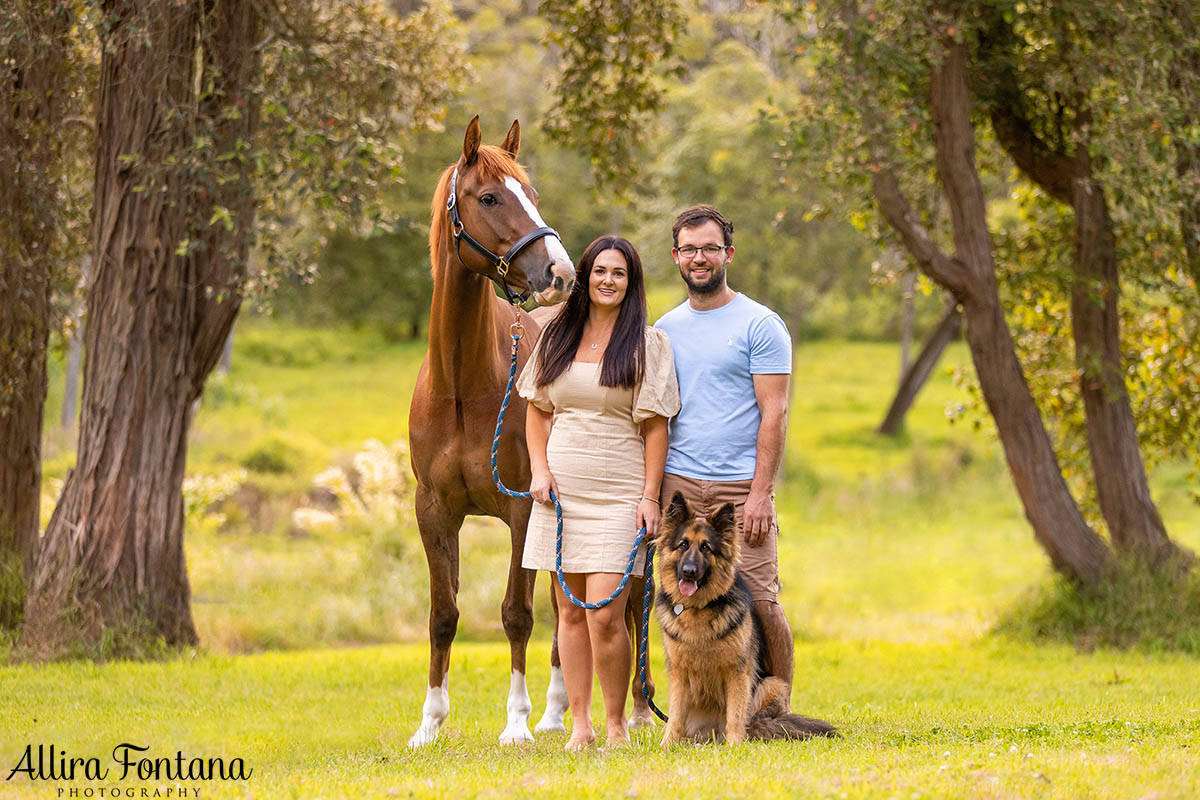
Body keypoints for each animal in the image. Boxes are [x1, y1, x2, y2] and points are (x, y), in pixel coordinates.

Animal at [657, 491, 835, 748]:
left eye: (706, 548)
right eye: (683, 545)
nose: (689, 572)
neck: (699, 609)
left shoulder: (737, 672)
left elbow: (735, 714)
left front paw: (734, 746)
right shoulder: (679, 673)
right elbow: (676, 715)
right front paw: (667, 745)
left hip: (772, 684)